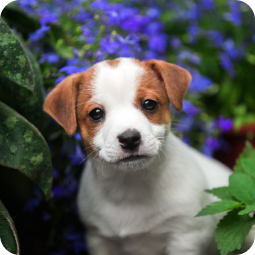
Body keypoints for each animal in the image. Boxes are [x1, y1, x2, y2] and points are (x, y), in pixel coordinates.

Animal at [42, 58, 254, 255]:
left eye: (149, 104)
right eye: (96, 113)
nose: (129, 138)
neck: (130, 186)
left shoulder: (186, 237)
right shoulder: (99, 239)